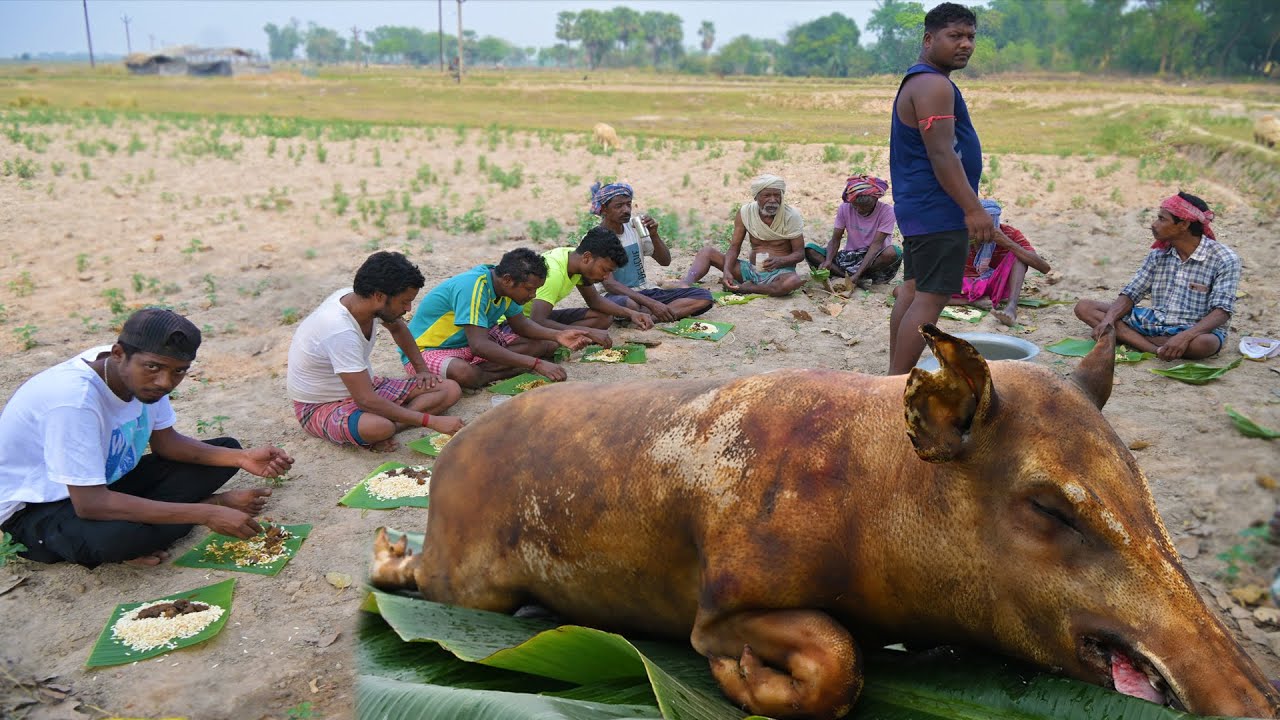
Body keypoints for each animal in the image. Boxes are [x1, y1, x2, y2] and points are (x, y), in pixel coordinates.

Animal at [372, 325, 1280, 719]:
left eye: (1143, 484)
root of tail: (453, 447)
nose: (1255, 700)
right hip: (469, 578)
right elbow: (833, 657)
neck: (874, 497)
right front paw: (740, 680)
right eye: (1050, 507)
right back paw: (386, 553)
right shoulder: (724, 594)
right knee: (424, 579)